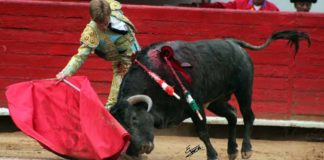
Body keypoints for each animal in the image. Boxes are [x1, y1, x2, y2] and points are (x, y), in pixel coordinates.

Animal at [109, 30, 308, 160]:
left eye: (134, 118)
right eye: (120, 126)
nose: (142, 148)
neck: (156, 77)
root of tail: (234, 43)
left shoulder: (194, 105)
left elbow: (202, 132)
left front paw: (212, 156)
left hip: (244, 89)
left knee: (248, 115)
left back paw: (246, 149)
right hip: (216, 100)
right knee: (232, 115)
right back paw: (232, 150)